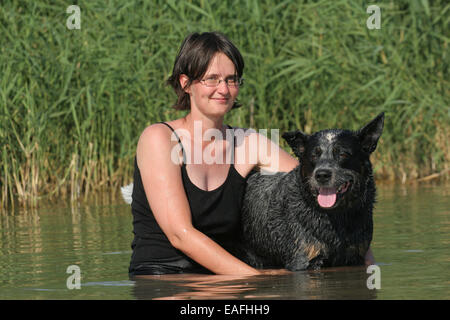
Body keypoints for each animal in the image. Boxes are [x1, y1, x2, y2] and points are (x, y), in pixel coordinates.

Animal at [241, 112, 384, 270]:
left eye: (342, 154)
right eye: (314, 155)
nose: (322, 174)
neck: (335, 217)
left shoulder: (355, 257)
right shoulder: (303, 259)